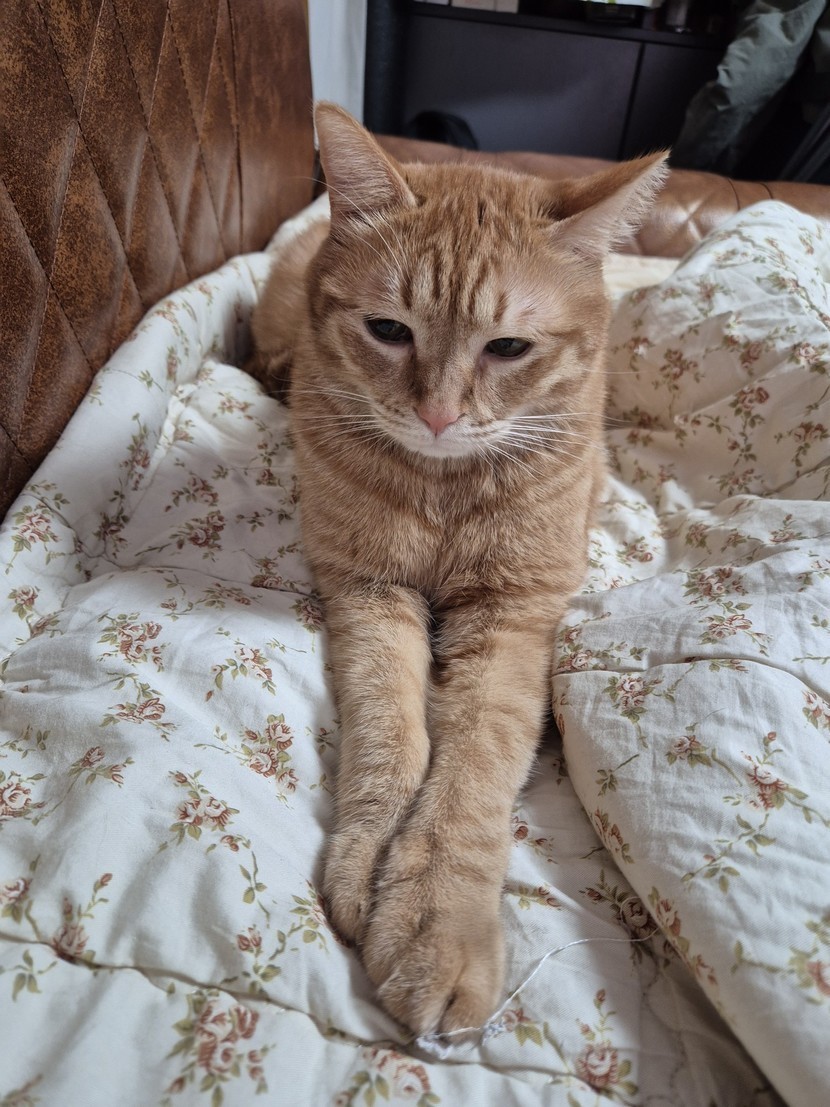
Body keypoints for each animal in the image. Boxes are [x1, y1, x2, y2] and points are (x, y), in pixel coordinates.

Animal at [250, 102, 667, 1037]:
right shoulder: (368, 589)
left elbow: (473, 765)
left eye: (507, 346)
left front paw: (437, 922)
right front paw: (369, 860)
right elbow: (391, 736)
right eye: (388, 330)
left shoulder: (513, 615)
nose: (438, 414)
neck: (442, 485)